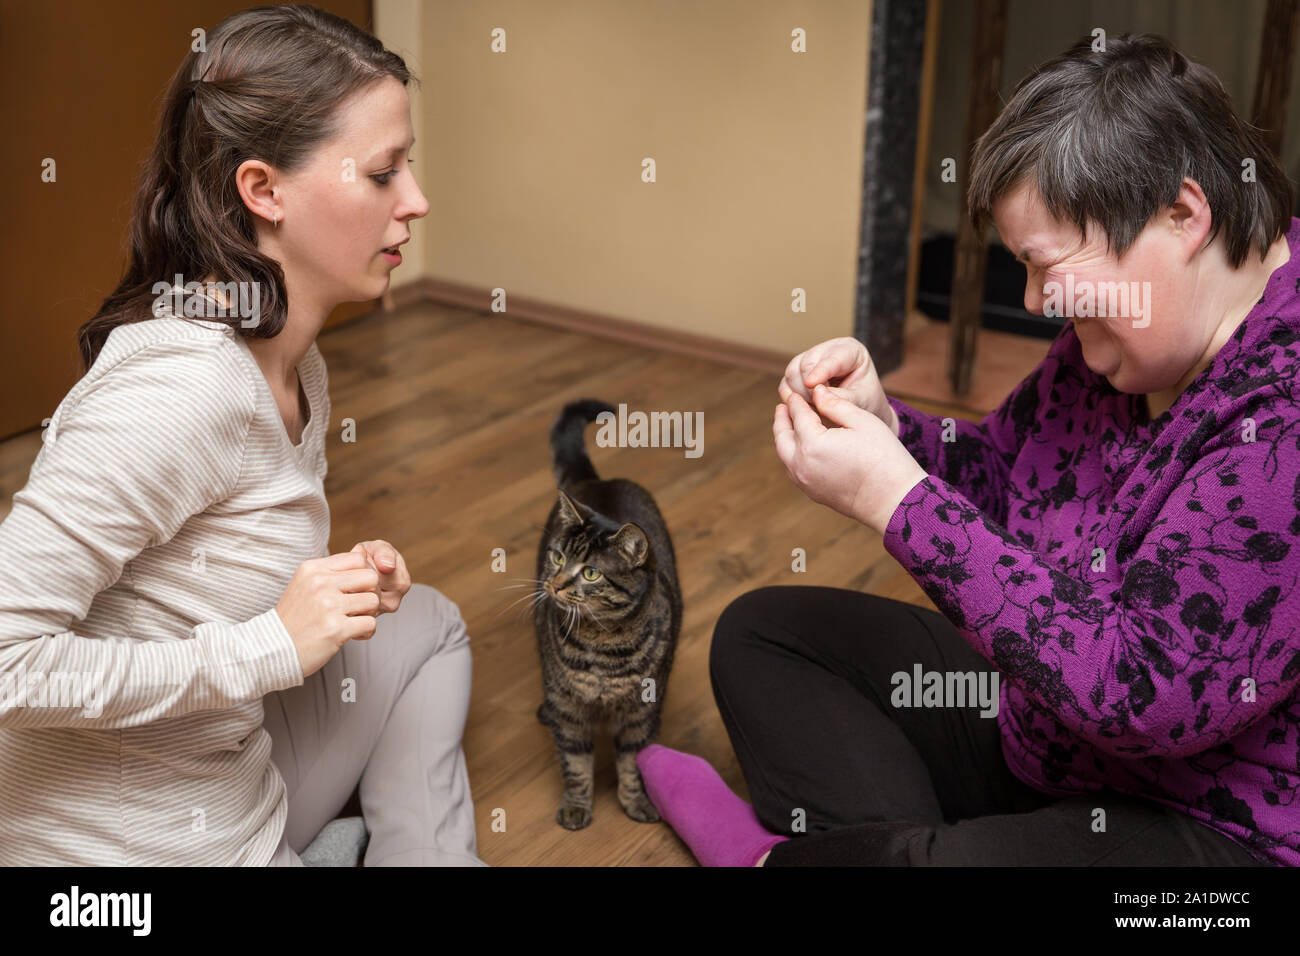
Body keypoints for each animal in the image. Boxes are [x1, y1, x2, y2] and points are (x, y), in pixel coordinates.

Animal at [533, 398, 686, 832]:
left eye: (591, 572)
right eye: (558, 557)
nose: (555, 585)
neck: (603, 643)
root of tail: (598, 481)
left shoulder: (641, 712)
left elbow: (635, 762)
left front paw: (636, 801)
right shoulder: (569, 710)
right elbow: (575, 763)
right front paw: (576, 806)